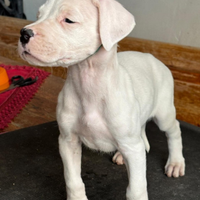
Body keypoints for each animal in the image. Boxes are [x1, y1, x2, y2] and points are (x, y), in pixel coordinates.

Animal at [18, 0, 185, 200]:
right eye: (39, 16)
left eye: (69, 20)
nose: (23, 33)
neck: (89, 85)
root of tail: (151, 57)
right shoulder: (67, 141)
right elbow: (73, 180)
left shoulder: (133, 150)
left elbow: (136, 189)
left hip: (163, 113)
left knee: (174, 130)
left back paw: (176, 162)